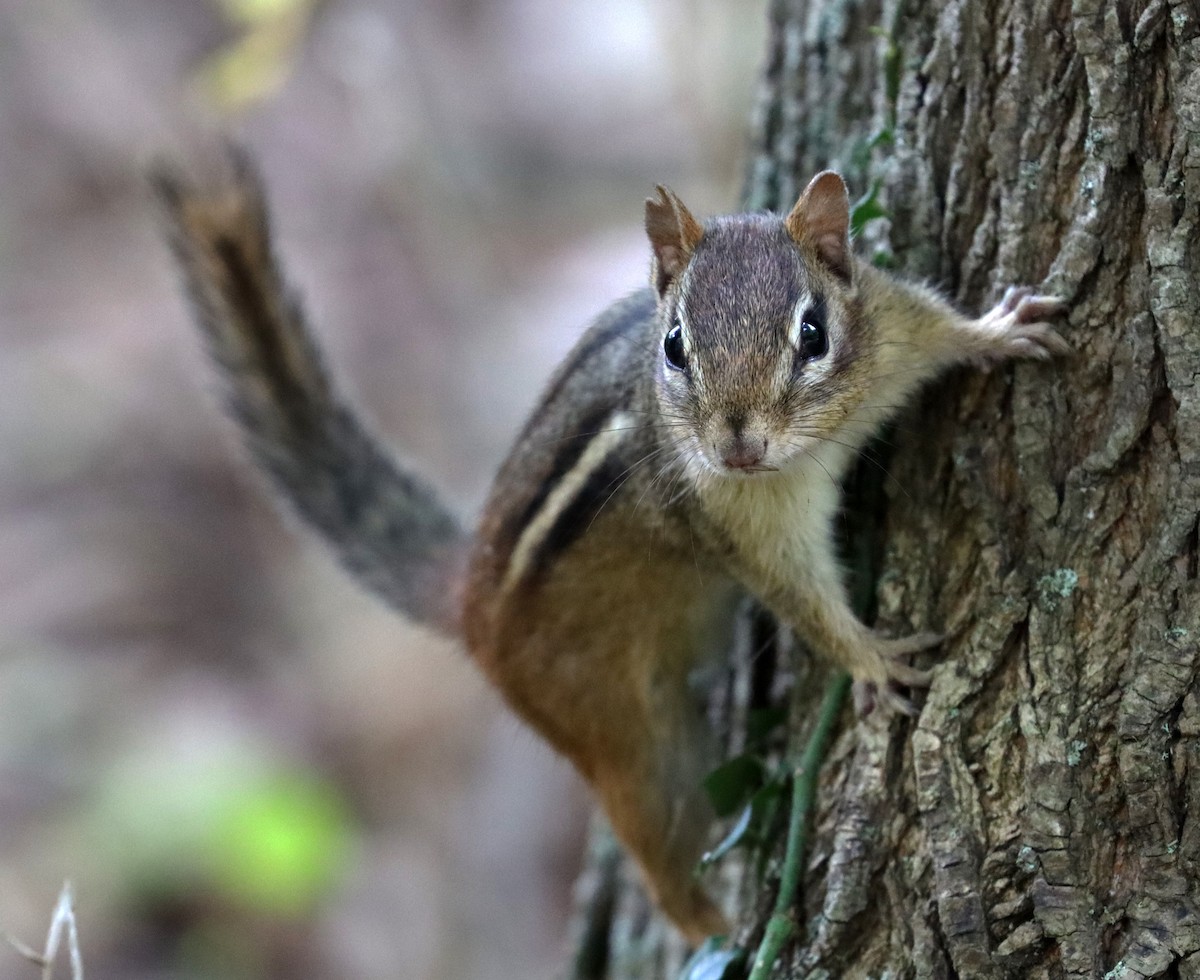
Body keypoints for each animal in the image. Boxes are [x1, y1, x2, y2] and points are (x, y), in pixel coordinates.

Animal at [153, 153, 1069, 942]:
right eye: (675, 346)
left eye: (812, 333)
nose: (738, 446)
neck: (812, 444)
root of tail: (469, 598)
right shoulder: (736, 521)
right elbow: (799, 595)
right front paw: (872, 659)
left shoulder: (893, 326)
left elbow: (943, 329)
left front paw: (1002, 330)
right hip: (620, 731)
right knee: (659, 852)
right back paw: (719, 931)